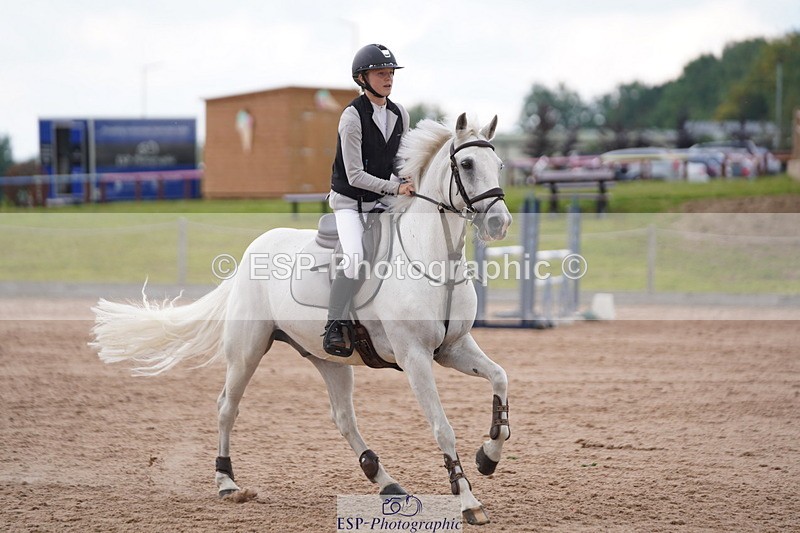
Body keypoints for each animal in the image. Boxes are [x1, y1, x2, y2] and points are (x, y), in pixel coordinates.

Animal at [90, 113, 513, 526]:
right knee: (227, 406)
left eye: (499, 165)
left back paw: (386, 482)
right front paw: (468, 500)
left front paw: (488, 456)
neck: (433, 261)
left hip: (329, 360)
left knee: (343, 418)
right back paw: (227, 482)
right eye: (467, 164)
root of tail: (250, 253)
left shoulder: (453, 348)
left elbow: (500, 378)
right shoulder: (415, 357)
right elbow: (443, 428)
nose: (500, 223)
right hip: (246, 352)